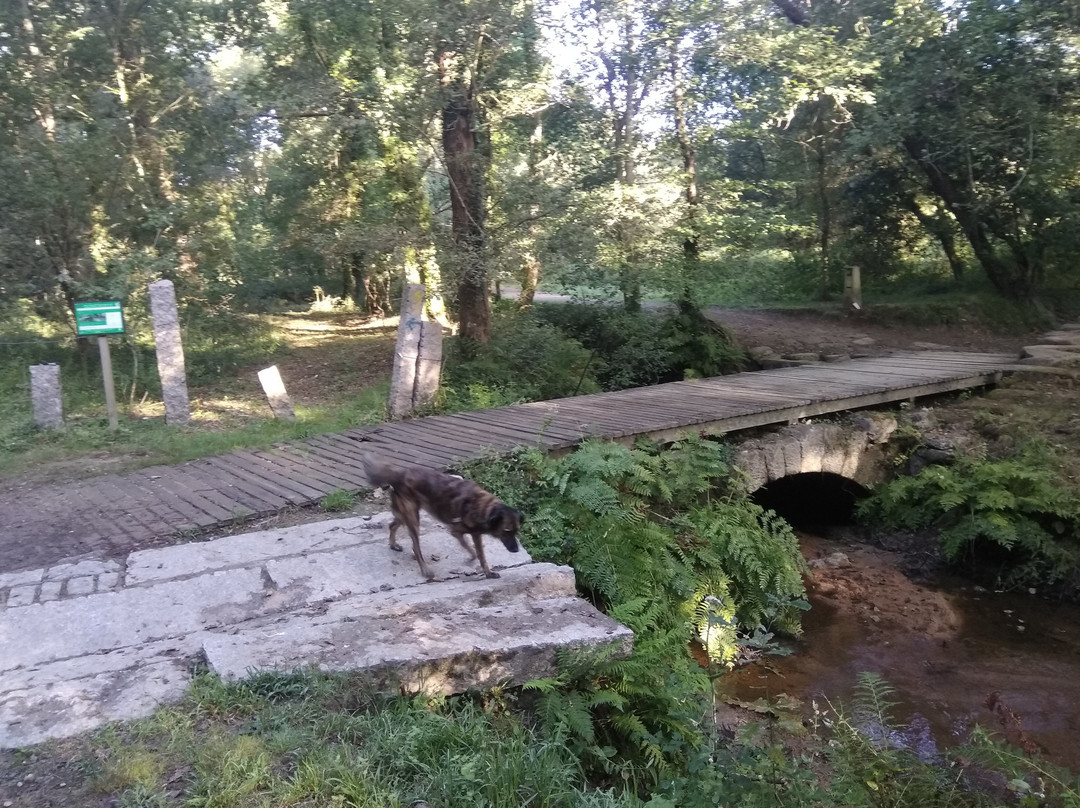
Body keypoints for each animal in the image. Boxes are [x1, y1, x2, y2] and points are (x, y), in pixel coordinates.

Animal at [362, 453, 522, 578]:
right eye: (506, 531)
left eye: (516, 532)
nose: (516, 550)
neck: (485, 508)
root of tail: (399, 473)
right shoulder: (456, 531)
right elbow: (471, 549)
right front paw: (475, 560)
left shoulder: (475, 534)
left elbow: (480, 555)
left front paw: (487, 571)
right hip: (413, 518)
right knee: (416, 548)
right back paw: (426, 570)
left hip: (405, 514)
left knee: (392, 525)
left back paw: (393, 544)